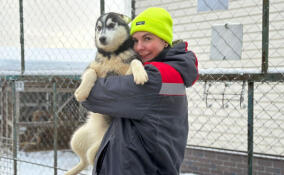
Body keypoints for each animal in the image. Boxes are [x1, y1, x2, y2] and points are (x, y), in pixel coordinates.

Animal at [65, 12, 149, 175]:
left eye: (111, 25)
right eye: (98, 28)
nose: (101, 38)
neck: (112, 54)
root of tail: (97, 135)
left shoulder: (125, 74)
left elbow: (135, 62)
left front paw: (141, 74)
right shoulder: (91, 68)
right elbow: (90, 72)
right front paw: (81, 91)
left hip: (95, 149)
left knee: (89, 160)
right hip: (77, 138)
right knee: (83, 161)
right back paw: (71, 171)